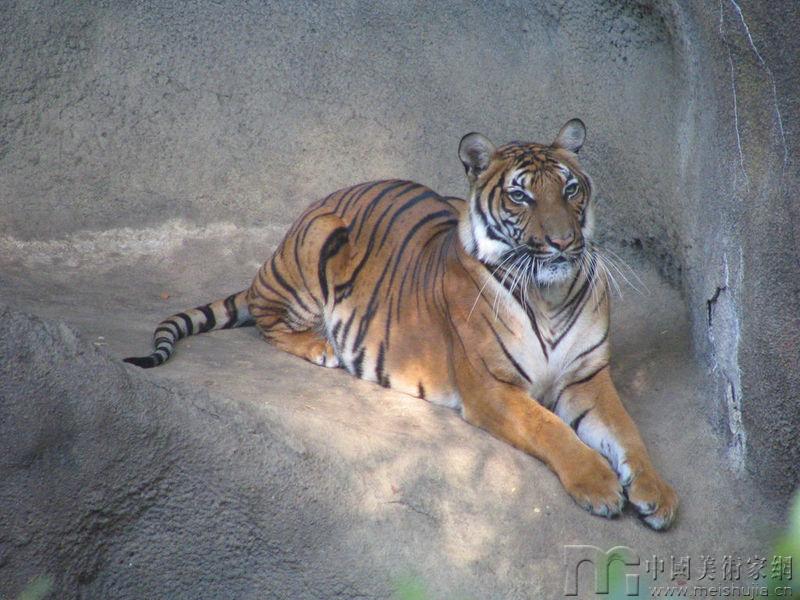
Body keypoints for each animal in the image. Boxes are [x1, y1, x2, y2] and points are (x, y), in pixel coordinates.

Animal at [125, 119, 678, 529]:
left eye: (571, 188)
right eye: (521, 196)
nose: (563, 243)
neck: (550, 295)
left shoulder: (588, 378)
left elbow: (628, 434)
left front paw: (657, 494)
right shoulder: (493, 388)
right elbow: (553, 430)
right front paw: (601, 485)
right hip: (314, 244)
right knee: (266, 318)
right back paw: (322, 347)